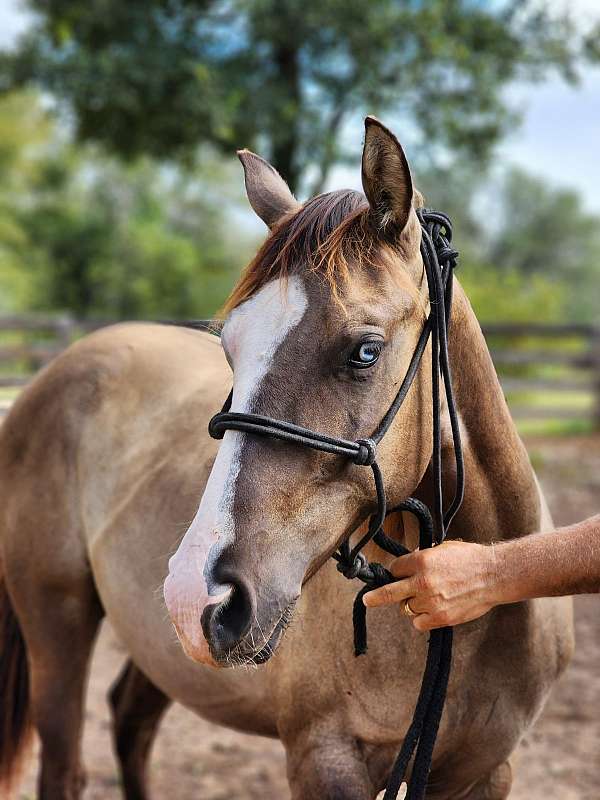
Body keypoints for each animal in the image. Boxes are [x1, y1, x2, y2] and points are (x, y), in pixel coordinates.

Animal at [0, 115, 572, 796]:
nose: (201, 593)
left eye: (364, 351)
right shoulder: (325, 759)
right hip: (57, 617)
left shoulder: (486, 771)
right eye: (230, 349)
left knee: (130, 722)